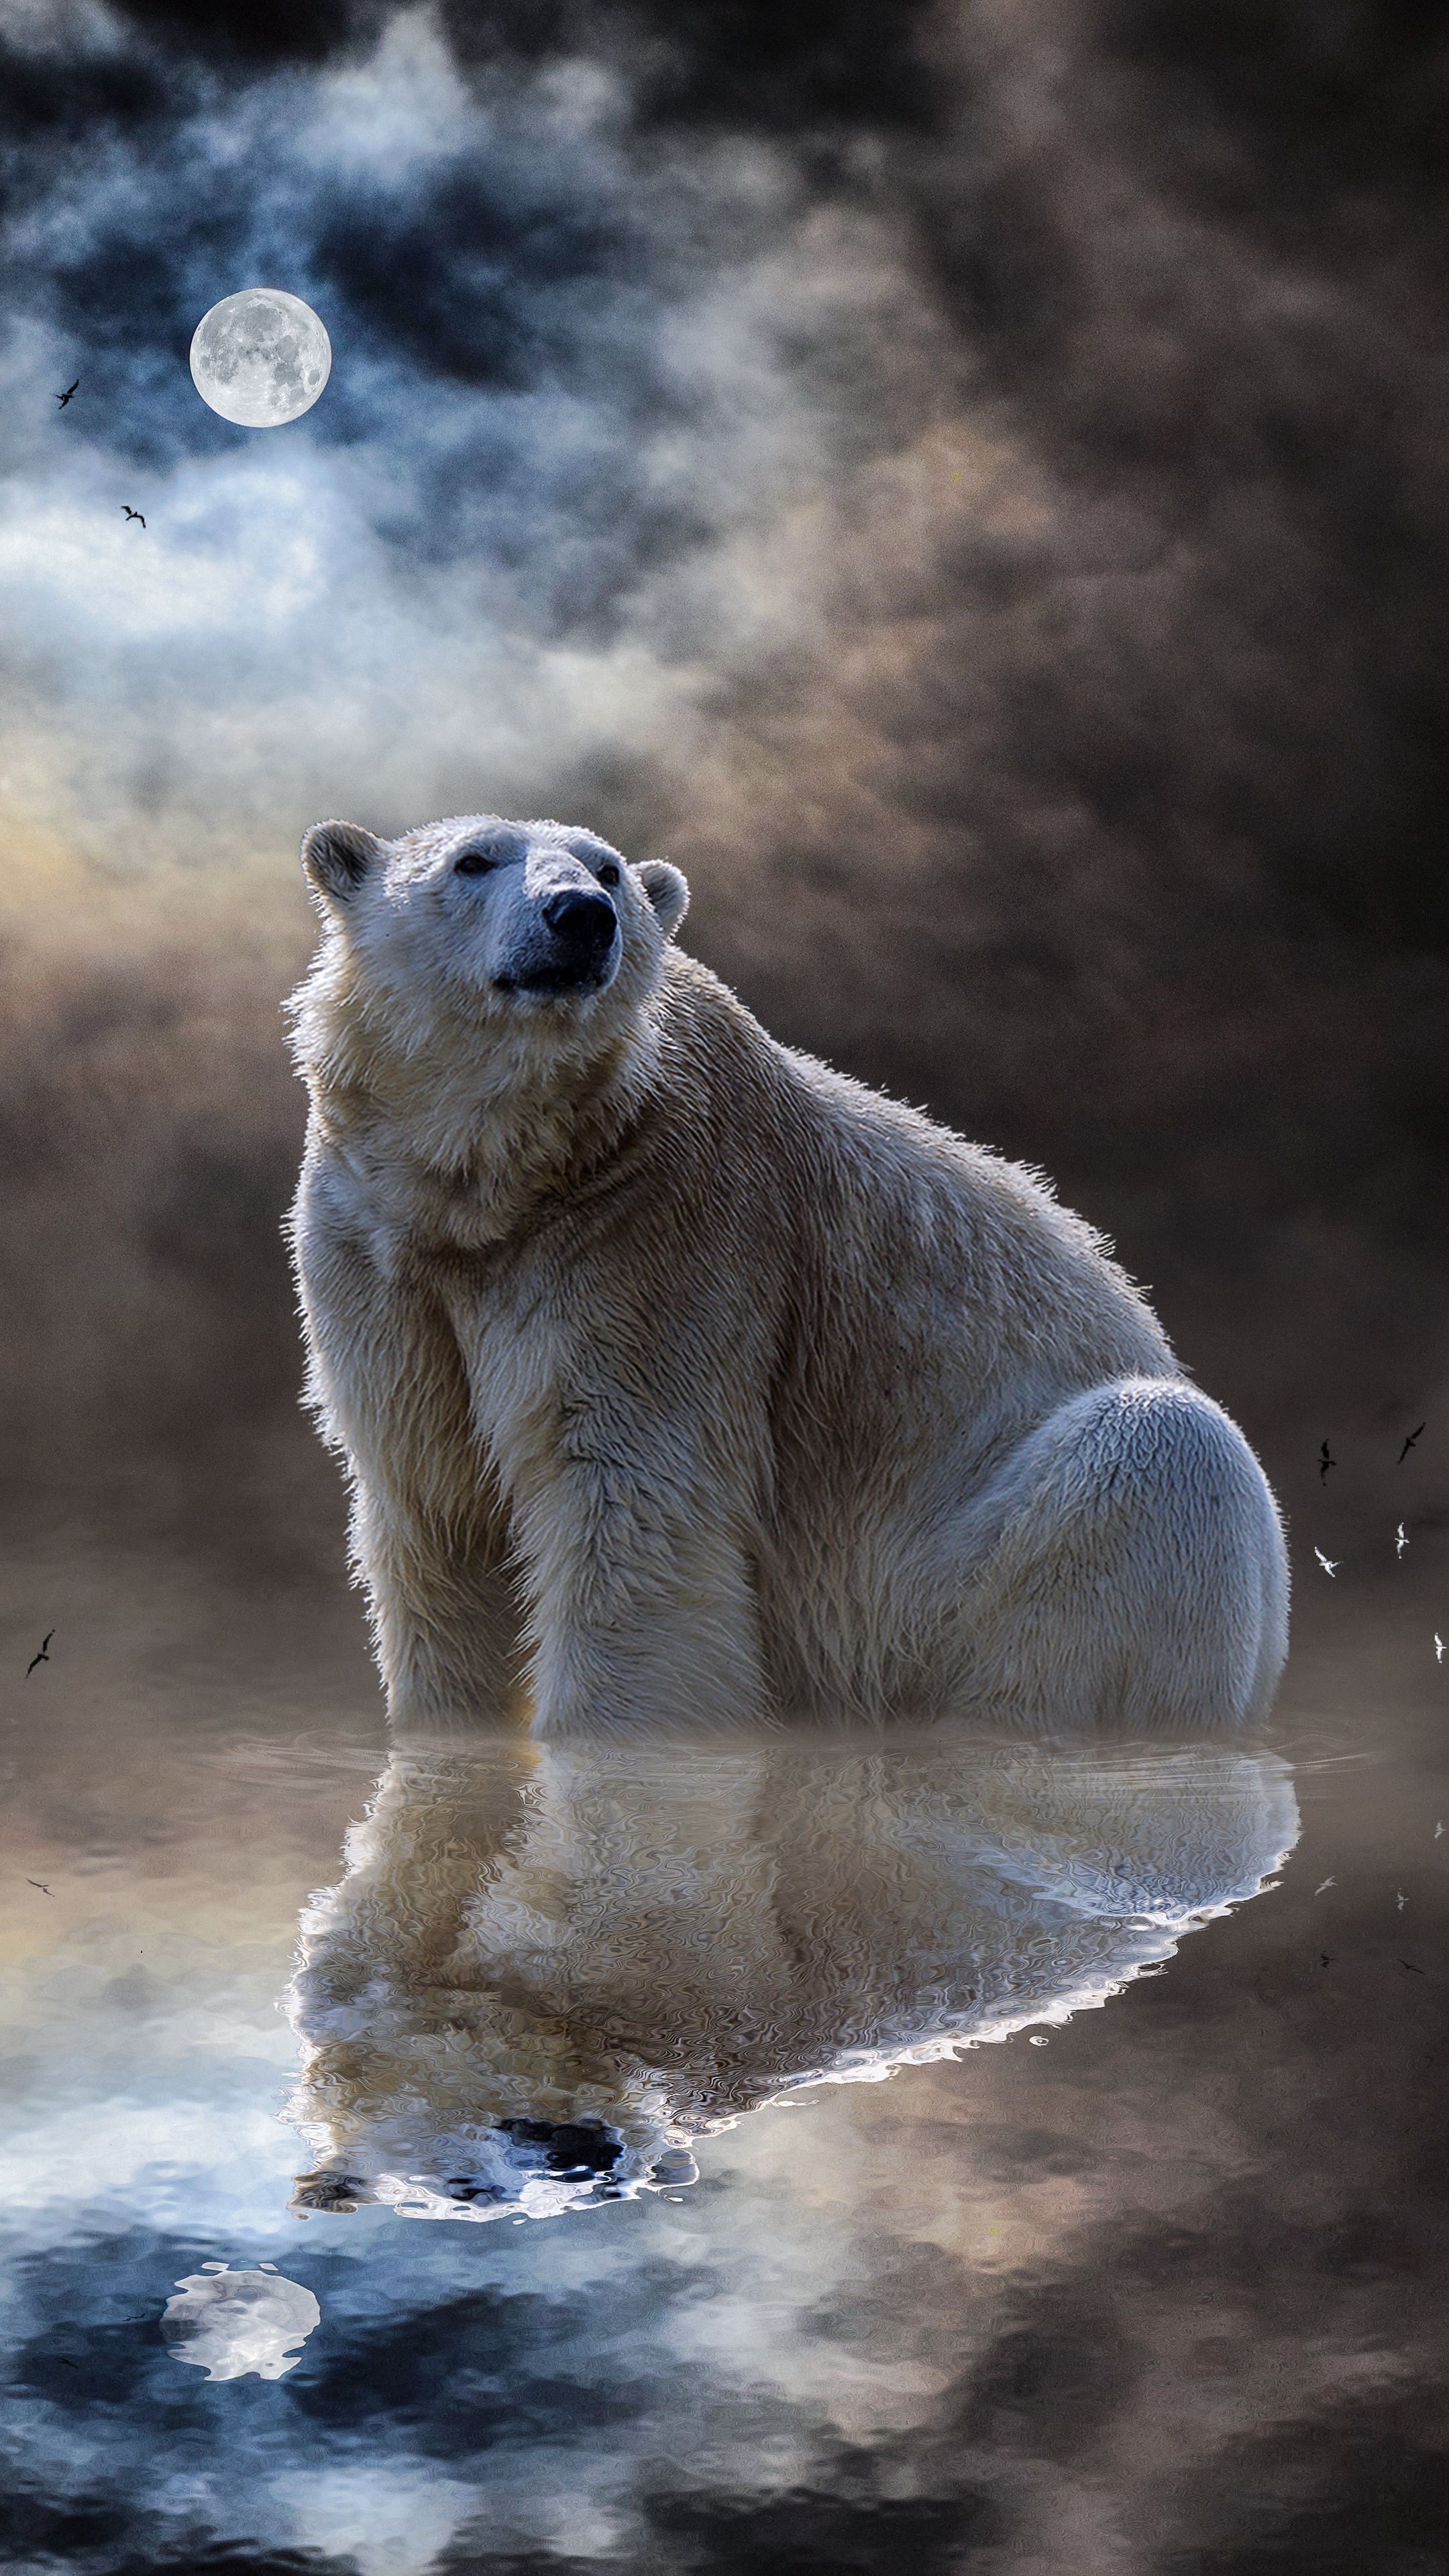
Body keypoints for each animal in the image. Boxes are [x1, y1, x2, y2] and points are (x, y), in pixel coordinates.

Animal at [285, 811, 1288, 1737]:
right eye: (473, 860)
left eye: (609, 869)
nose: (581, 916)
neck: (499, 1185)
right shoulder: (375, 1248)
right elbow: (434, 1505)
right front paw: (444, 1728)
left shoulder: (658, 1235)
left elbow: (633, 1504)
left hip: (940, 1587)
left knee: (1162, 1452)